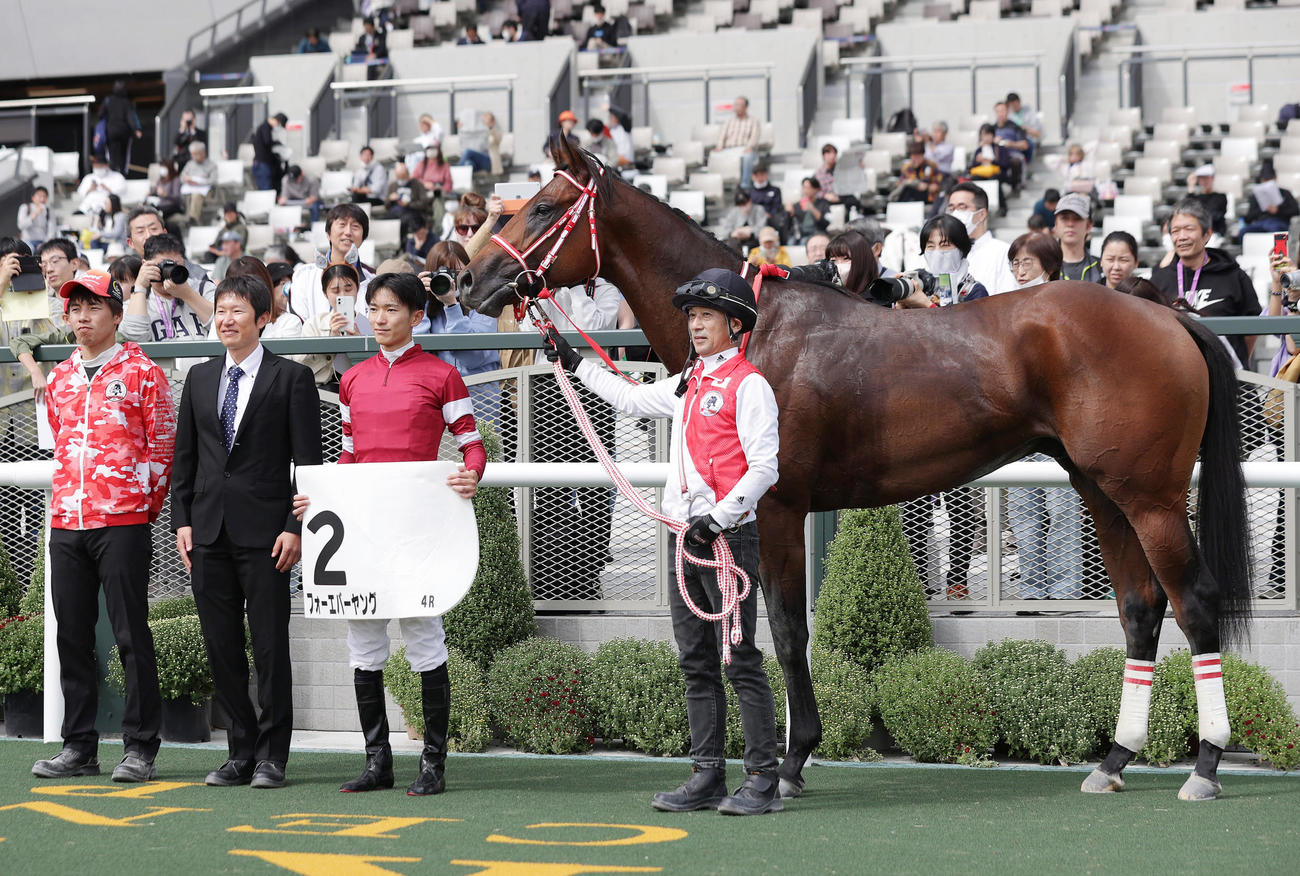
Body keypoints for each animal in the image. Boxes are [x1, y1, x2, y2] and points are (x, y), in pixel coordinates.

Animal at [461, 135, 1252, 801]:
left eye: (543, 207)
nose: (466, 279)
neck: (756, 328)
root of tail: (1168, 316)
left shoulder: (777, 509)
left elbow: (784, 631)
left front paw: (788, 764)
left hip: (1150, 499)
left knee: (1195, 604)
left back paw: (1206, 765)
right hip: (1101, 491)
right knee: (1140, 608)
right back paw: (1114, 759)